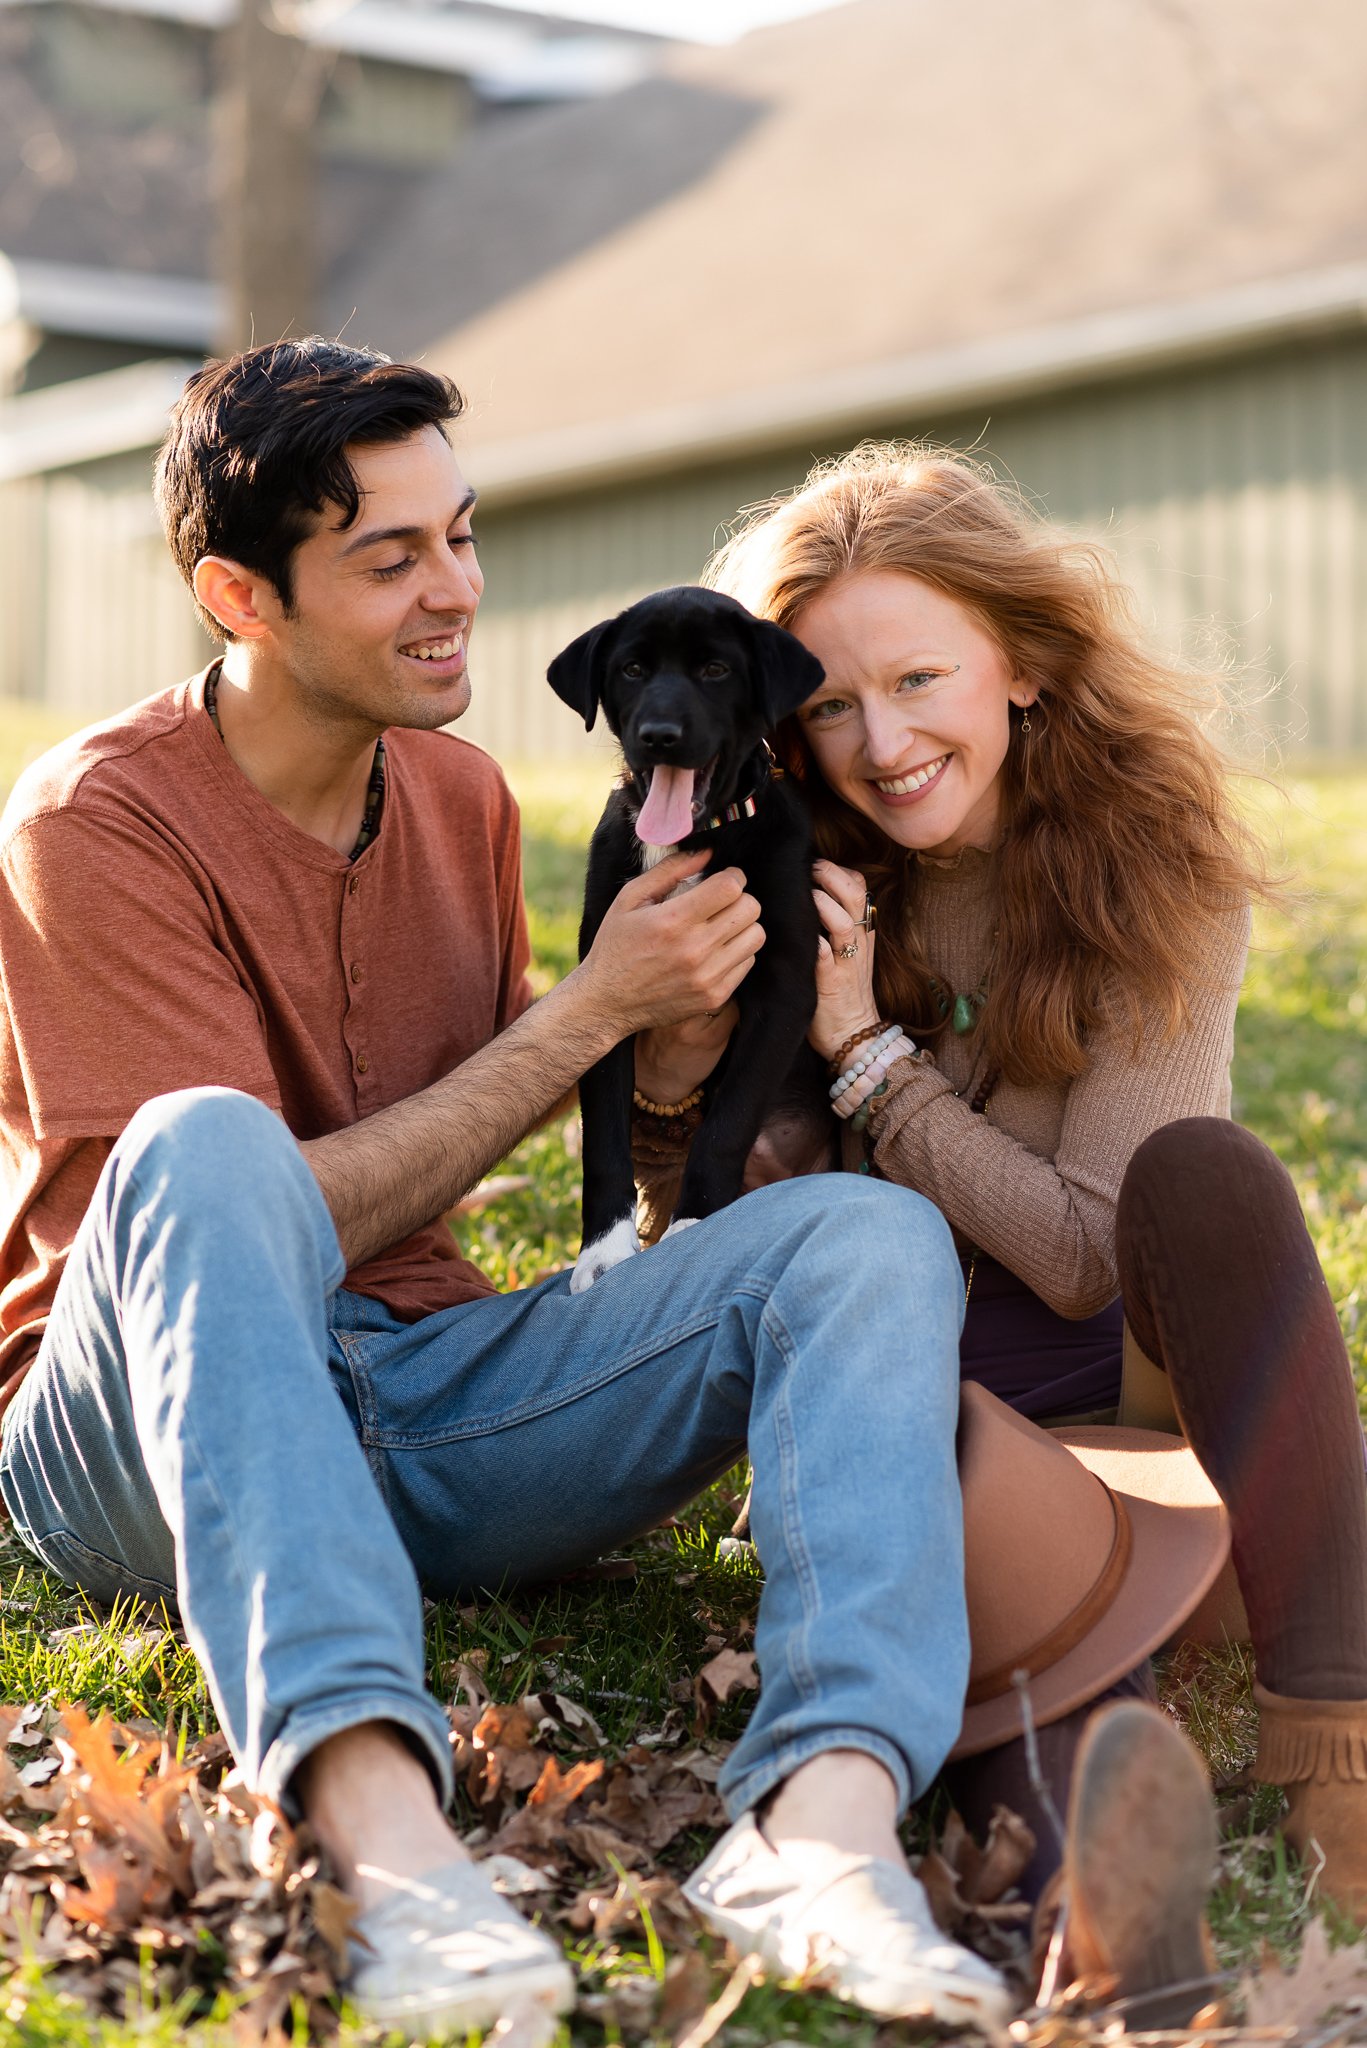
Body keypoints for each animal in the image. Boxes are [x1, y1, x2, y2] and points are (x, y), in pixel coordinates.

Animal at [545, 585, 823, 1286]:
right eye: (632, 670)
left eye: (716, 670)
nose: (659, 737)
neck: (694, 842)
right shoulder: (606, 990)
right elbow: (604, 1139)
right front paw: (605, 1251)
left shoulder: (784, 988)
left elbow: (726, 1123)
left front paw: (694, 1226)